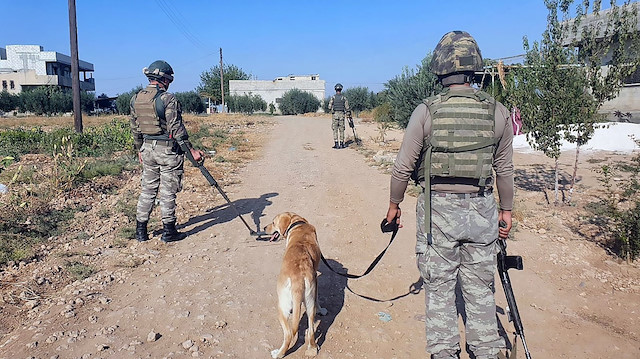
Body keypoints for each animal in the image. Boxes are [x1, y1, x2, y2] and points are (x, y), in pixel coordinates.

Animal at [264, 212, 328, 358]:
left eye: (273, 222)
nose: (264, 228)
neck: (298, 223)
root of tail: (298, 279)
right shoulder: (315, 280)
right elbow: (318, 299)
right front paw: (321, 310)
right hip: (309, 304)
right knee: (311, 330)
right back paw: (312, 349)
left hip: (281, 307)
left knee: (288, 334)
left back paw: (278, 353)